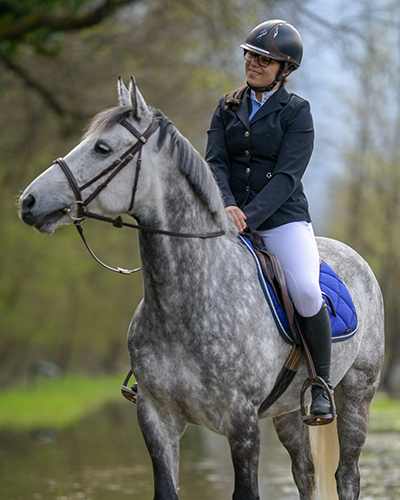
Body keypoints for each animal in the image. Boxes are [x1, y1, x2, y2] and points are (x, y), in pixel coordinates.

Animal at [18, 76, 384, 498]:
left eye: (102, 148)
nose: (28, 201)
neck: (185, 304)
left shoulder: (241, 423)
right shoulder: (155, 417)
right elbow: (165, 488)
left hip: (357, 392)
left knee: (347, 474)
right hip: (288, 409)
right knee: (305, 472)